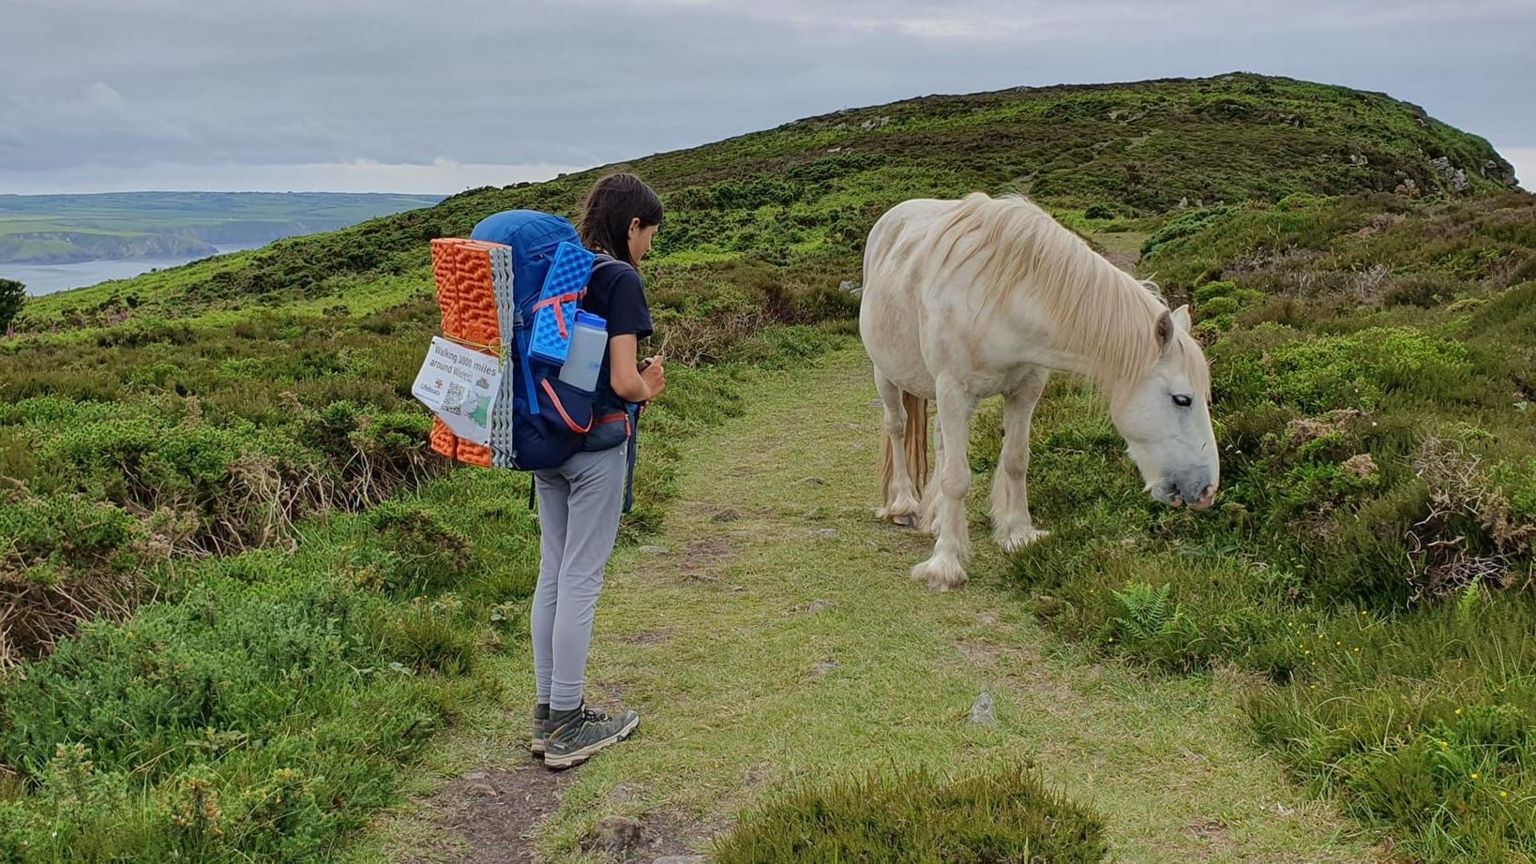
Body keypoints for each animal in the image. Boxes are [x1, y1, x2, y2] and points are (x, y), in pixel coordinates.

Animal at [860, 191, 1216, 587]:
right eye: (1182, 399)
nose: (1207, 490)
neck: (1004, 301)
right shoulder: (954, 391)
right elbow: (957, 477)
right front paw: (946, 564)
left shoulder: (1024, 391)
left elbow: (1016, 461)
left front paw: (1018, 534)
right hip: (887, 374)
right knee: (898, 427)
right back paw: (904, 504)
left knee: (939, 439)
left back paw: (935, 516)